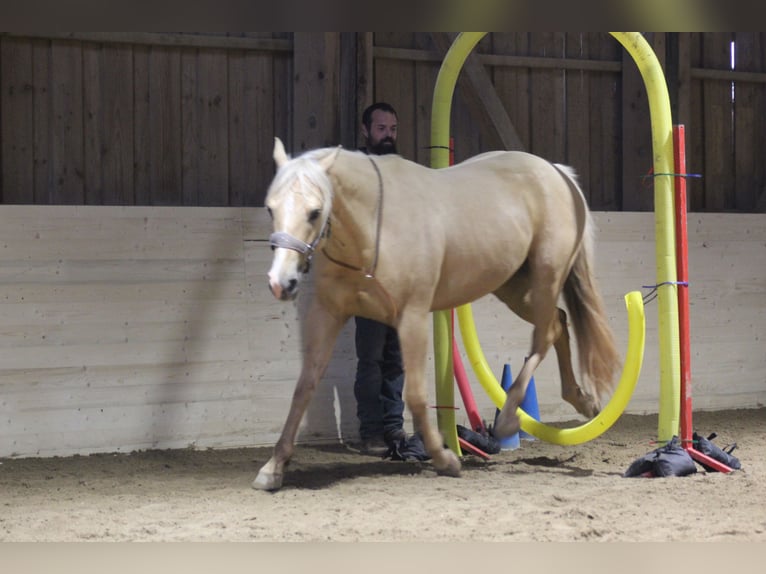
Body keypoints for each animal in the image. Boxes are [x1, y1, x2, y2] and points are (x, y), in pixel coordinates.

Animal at [253, 137, 621, 491]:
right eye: (270, 207)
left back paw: (508, 420)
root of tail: (558, 173)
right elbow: (304, 387)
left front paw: (445, 459)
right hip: (514, 289)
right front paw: (273, 469)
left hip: (545, 279)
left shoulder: (412, 317)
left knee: (543, 337)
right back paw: (582, 400)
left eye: (315, 212)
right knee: (558, 324)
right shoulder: (327, 314)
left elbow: (415, 395)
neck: (374, 225)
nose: (281, 282)